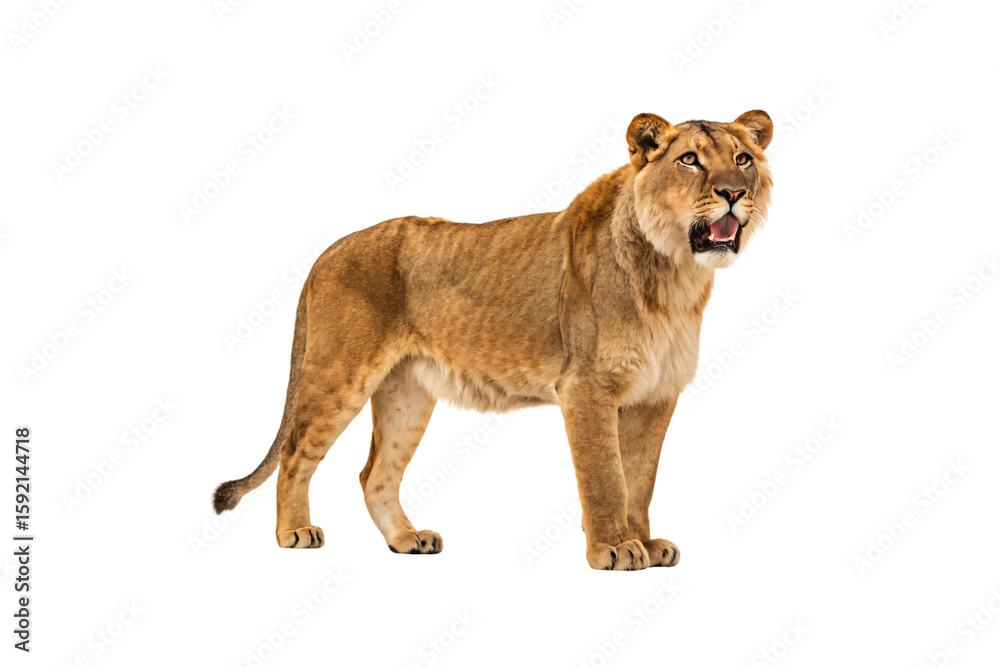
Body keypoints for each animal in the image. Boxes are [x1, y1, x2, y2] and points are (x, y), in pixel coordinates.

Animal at [213, 110, 773, 570]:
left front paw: (646, 543)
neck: (674, 275)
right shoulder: (586, 387)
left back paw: (407, 540)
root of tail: (326, 251)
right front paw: (614, 549)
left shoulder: (657, 393)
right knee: (295, 455)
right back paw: (294, 532)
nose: (734, 192)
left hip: (406, 393)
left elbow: (640, 477)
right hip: (339, 375)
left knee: (375, 474)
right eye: (690, 161)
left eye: (742, 159)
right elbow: (605, 477)